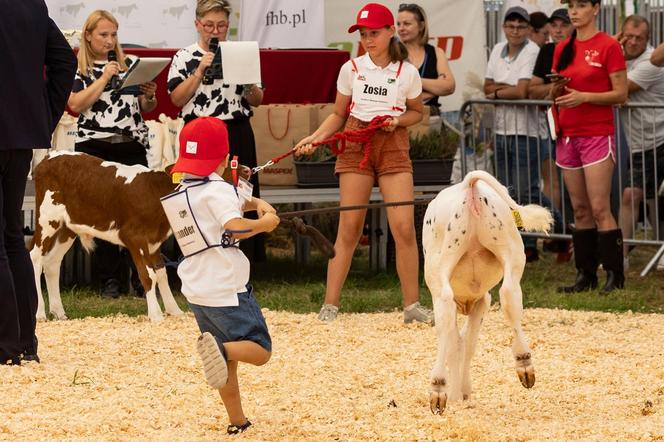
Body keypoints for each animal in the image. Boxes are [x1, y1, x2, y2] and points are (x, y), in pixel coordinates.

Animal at [422, 170, 552, 414]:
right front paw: (462, 392)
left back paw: (438, 387)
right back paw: (524, 363)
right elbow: (468, 343)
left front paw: (457, 394)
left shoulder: (479, 300)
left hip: (439, 266)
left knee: (445, 307)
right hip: (510, 248)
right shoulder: (483, 300)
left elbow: (457, 344)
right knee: (509, 294)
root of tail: (469, 187)